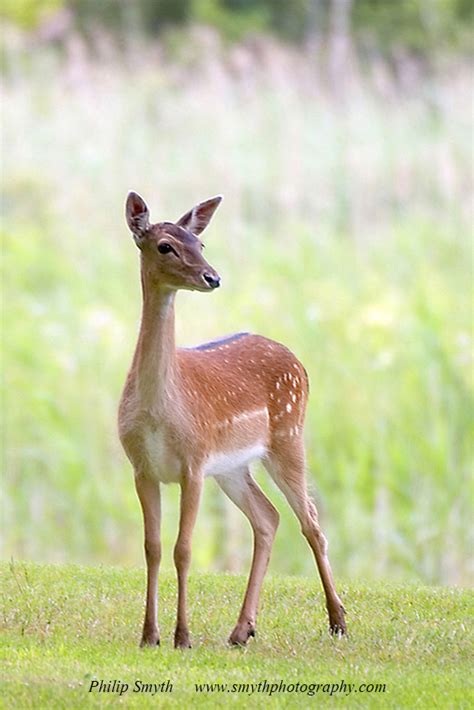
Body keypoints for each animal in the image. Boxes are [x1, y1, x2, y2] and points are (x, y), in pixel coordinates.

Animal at [118, 192, 348, 648]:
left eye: (200, 243)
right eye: (165, 246)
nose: (213, 277)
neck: (160, 410)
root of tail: (300, 363)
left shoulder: (193, 461)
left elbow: (183, 549)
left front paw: (182, 636)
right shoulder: (142, 467)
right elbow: (152, 547)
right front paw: (149, 635)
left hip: (288, 435)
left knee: (311, 522)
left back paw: (338, 621)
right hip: (233, 468)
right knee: (268, 518)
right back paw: (242, 630)